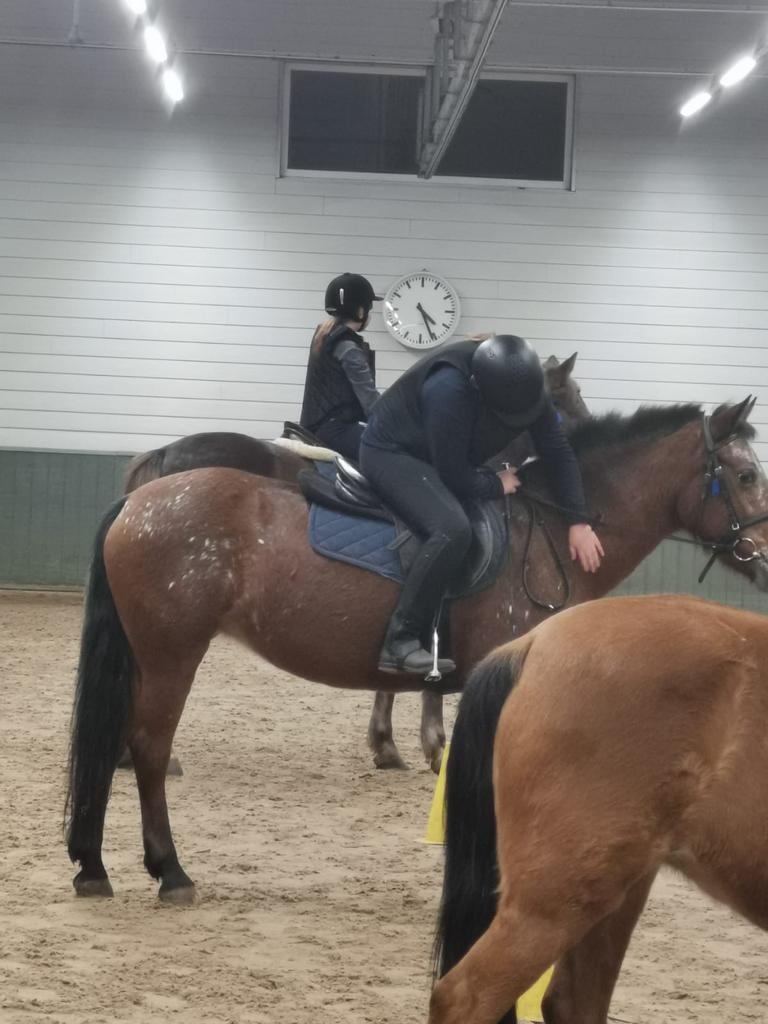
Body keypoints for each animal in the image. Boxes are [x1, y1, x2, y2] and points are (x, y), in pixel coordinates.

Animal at [64, 397, 768, 905]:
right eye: (745, 475)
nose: (766, 559)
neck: (546, 532)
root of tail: (139, 502)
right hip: (171, 654)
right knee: (149, 749)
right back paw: (170, 871)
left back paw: (94, 866)